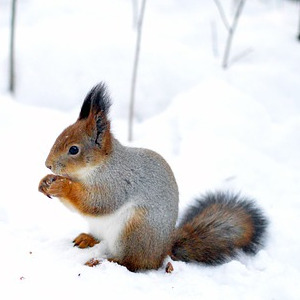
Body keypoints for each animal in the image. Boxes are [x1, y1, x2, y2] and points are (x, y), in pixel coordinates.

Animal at [38, 82, 268, 272]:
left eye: (74, 149)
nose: (48, 164)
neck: (97, 168)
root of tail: (164, 250)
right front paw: (44, 182)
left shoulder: (118, 183)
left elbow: (97, 203)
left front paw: (62, 187)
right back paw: (87, 239)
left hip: (135, 232)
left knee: (136, 264)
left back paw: (107, 261)